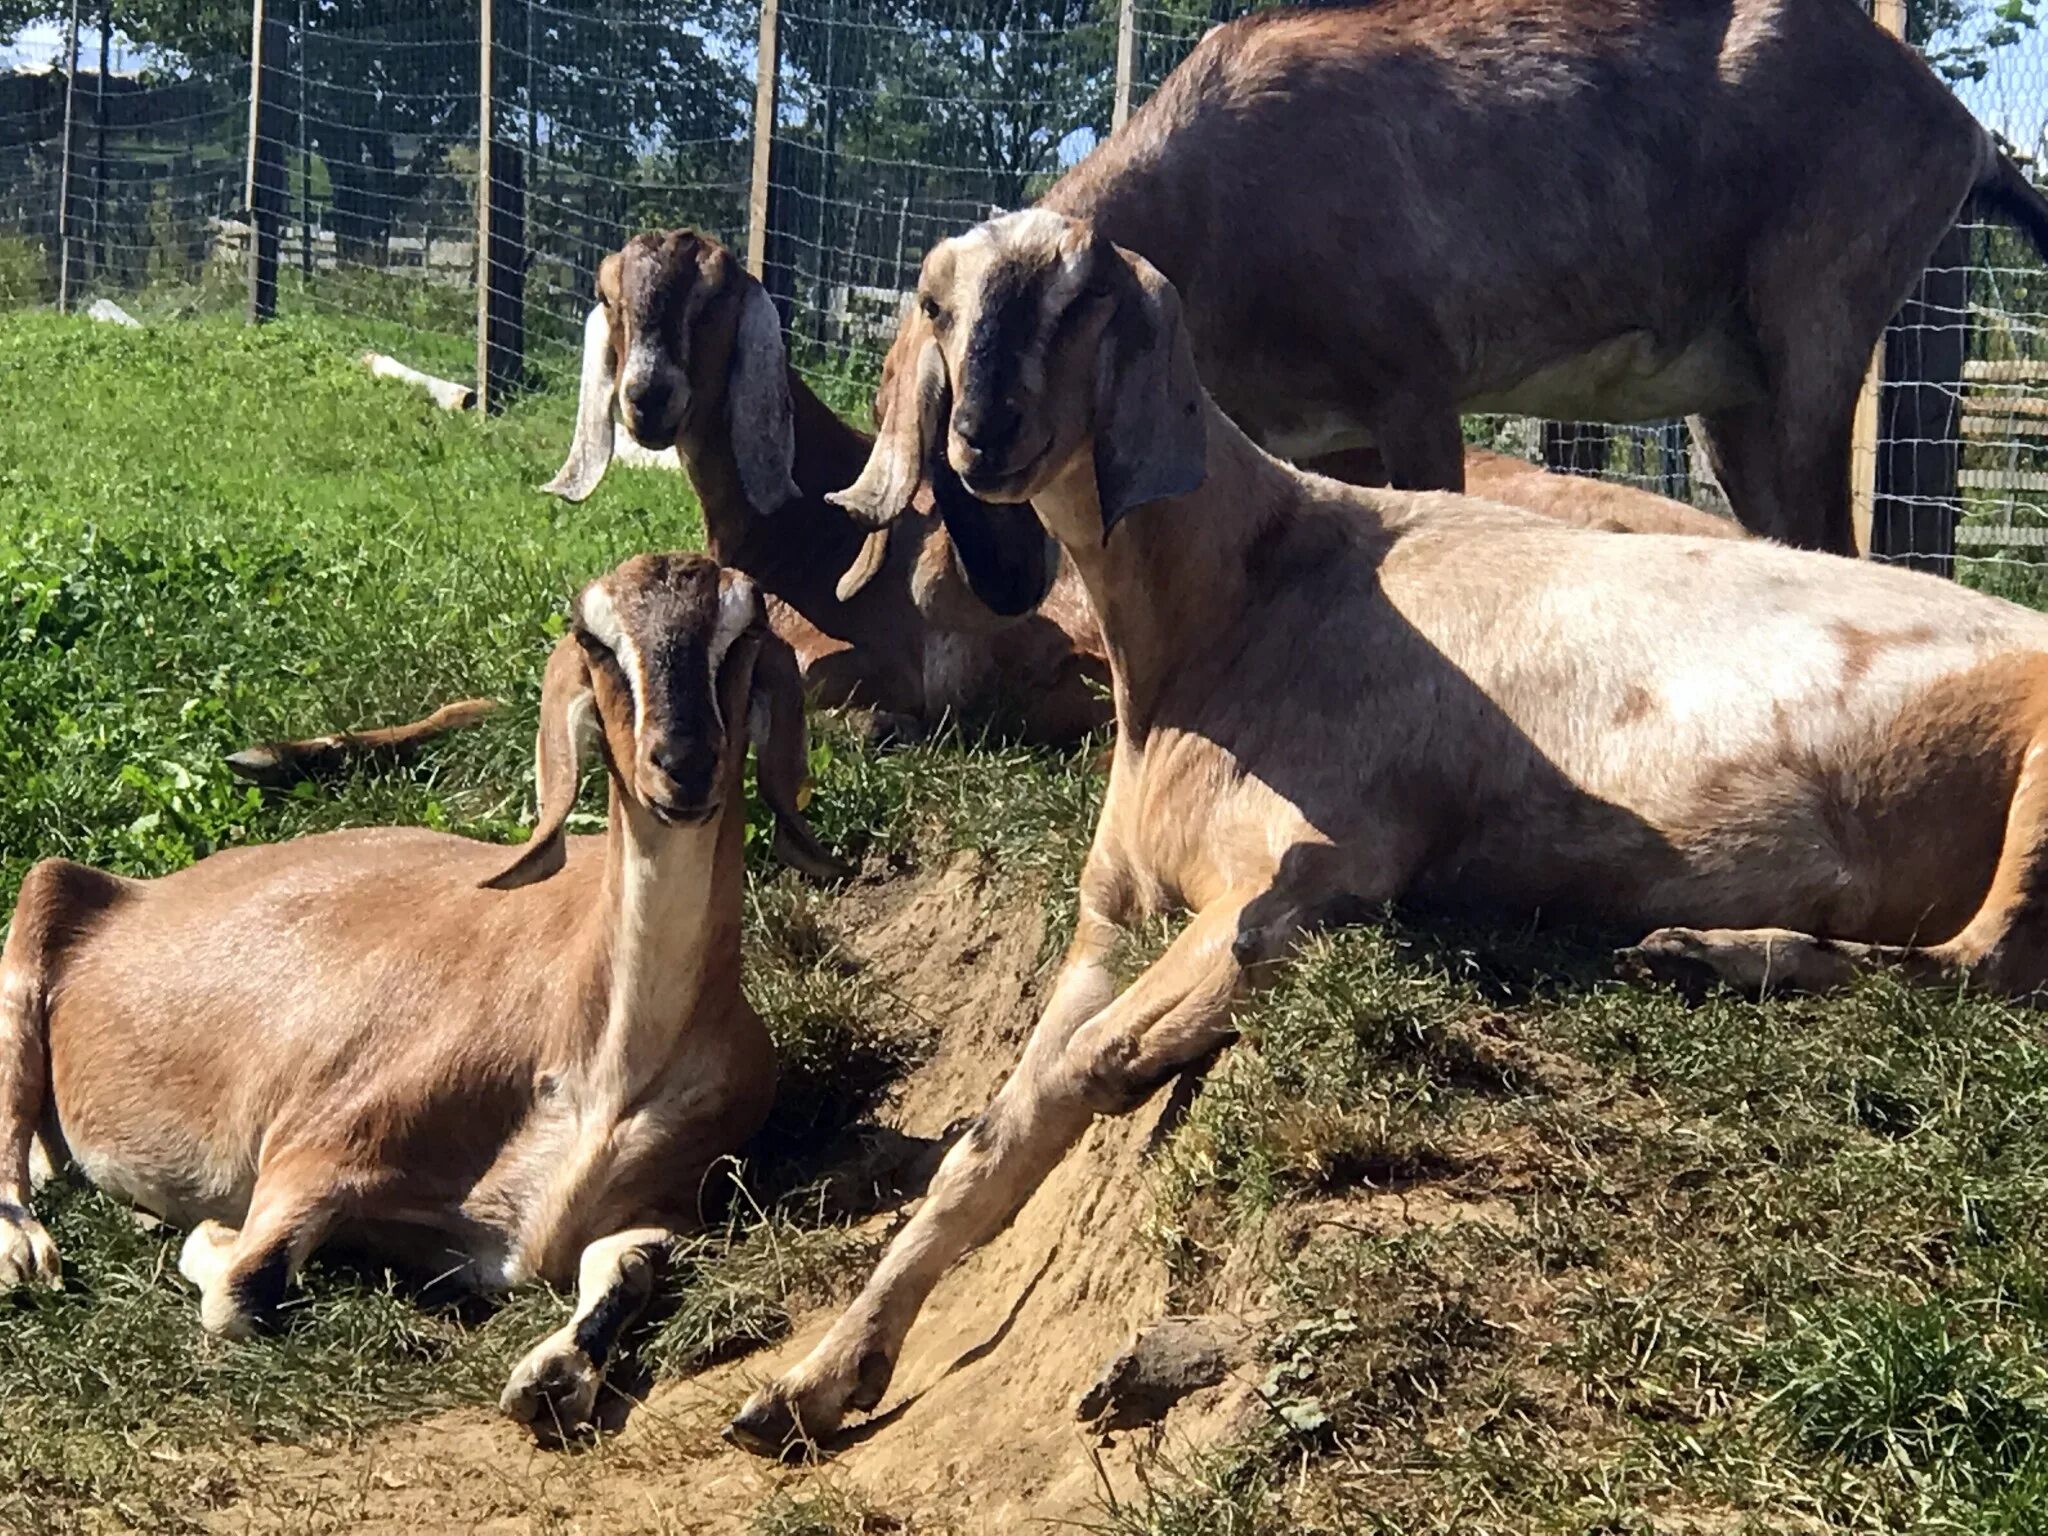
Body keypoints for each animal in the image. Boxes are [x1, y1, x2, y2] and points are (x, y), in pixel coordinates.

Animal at [4, 557, 839, 1441]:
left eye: (743, 631)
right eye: (593, 638)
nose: (682, 764)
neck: (603, 1061)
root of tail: (145, 889)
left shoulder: (659, 1202)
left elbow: (629, 1268)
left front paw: (555, 1373)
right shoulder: (319, 1149)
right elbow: (244, 1288)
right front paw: (207, 1231)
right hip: (45, 899)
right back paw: (25, 1250)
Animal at [724, 214, 2048, 1458]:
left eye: (1083, 297)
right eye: (937, 305)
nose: (983, 437)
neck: (1238, 605)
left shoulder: (1312, 858)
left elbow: (1103, 1054)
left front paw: (1176, 1035)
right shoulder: (1110, 914)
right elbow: (991, 1135)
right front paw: (815, 1379)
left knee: (1982, 965)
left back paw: (1713, 953)